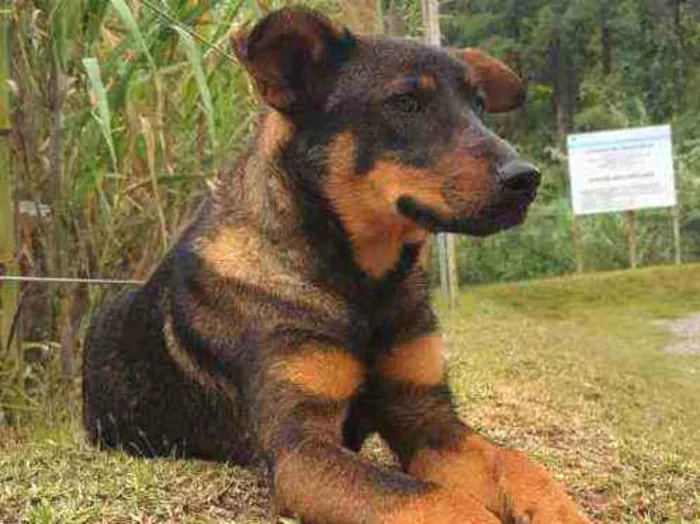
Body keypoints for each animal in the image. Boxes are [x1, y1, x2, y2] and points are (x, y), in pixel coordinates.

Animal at [82, 8, 592, 524]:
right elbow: (437, 500)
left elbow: (521, 465)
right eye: (406, 103)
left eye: (480, 106)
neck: (364, 285)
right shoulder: (301, 450)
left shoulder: (427, 419)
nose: (527, 179)